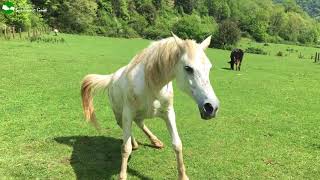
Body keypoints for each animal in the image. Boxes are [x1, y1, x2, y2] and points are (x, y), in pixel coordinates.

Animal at [81, 33, 219, 179]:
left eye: (209, 68)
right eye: (188, 68)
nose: (211, 107)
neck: (152, 85)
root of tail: (112, 77)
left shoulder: (169, 113)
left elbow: (177, 144)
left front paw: (183, 176)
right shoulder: (128, 113)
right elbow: (125, 148)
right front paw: (122, 175)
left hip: (140, 114)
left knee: (140, 123)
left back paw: (154, 142)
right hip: (120, 113)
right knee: (125, 126)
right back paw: (136, 143)